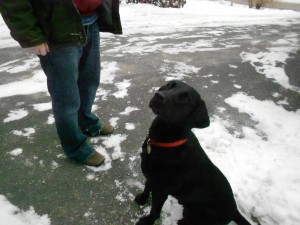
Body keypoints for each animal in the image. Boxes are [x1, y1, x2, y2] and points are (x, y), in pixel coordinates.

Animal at [135, 80, 250, 225]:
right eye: (169, 85)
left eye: (186, 98)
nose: (158, 96)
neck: (163, 141)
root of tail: (235, 211)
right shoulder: (151, 177)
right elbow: (146, 187)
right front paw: (142, 199)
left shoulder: (161, 189)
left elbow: (155, 210)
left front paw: (147, 221)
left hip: (199, 214)